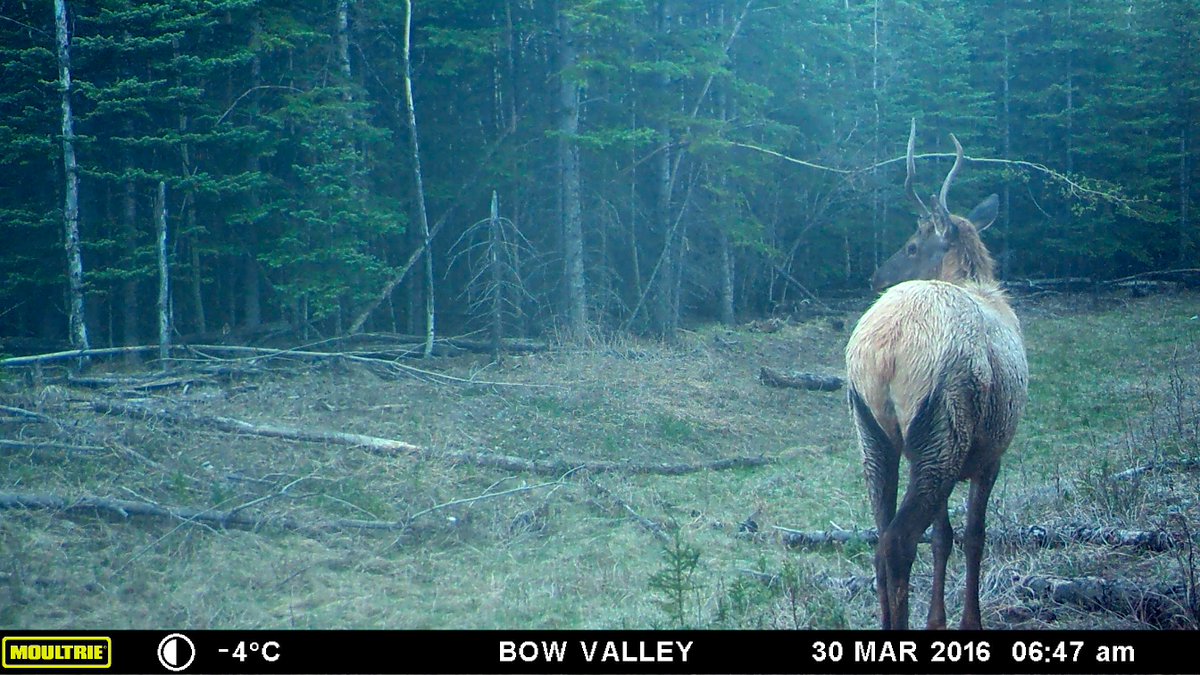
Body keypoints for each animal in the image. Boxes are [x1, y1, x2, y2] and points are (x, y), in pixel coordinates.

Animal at [844, 118, 1032, 629]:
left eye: (911, 245)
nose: (875, 276)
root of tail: (884, 353)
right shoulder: (992, 452)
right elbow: (974, 535)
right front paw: (968, 622)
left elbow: (944, 537)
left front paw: (938, 621)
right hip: (942, 428)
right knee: (897, 542)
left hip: (874, 434)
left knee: (880, 538)